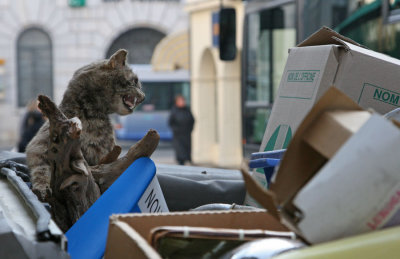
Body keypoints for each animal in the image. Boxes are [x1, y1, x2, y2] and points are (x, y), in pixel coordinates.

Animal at [25, 49, 144, 202]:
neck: (90, 115)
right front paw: (42, 187)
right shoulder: (39, 146)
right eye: (134, 81)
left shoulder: (103, 154)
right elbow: (41, 169)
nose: (143, 97)